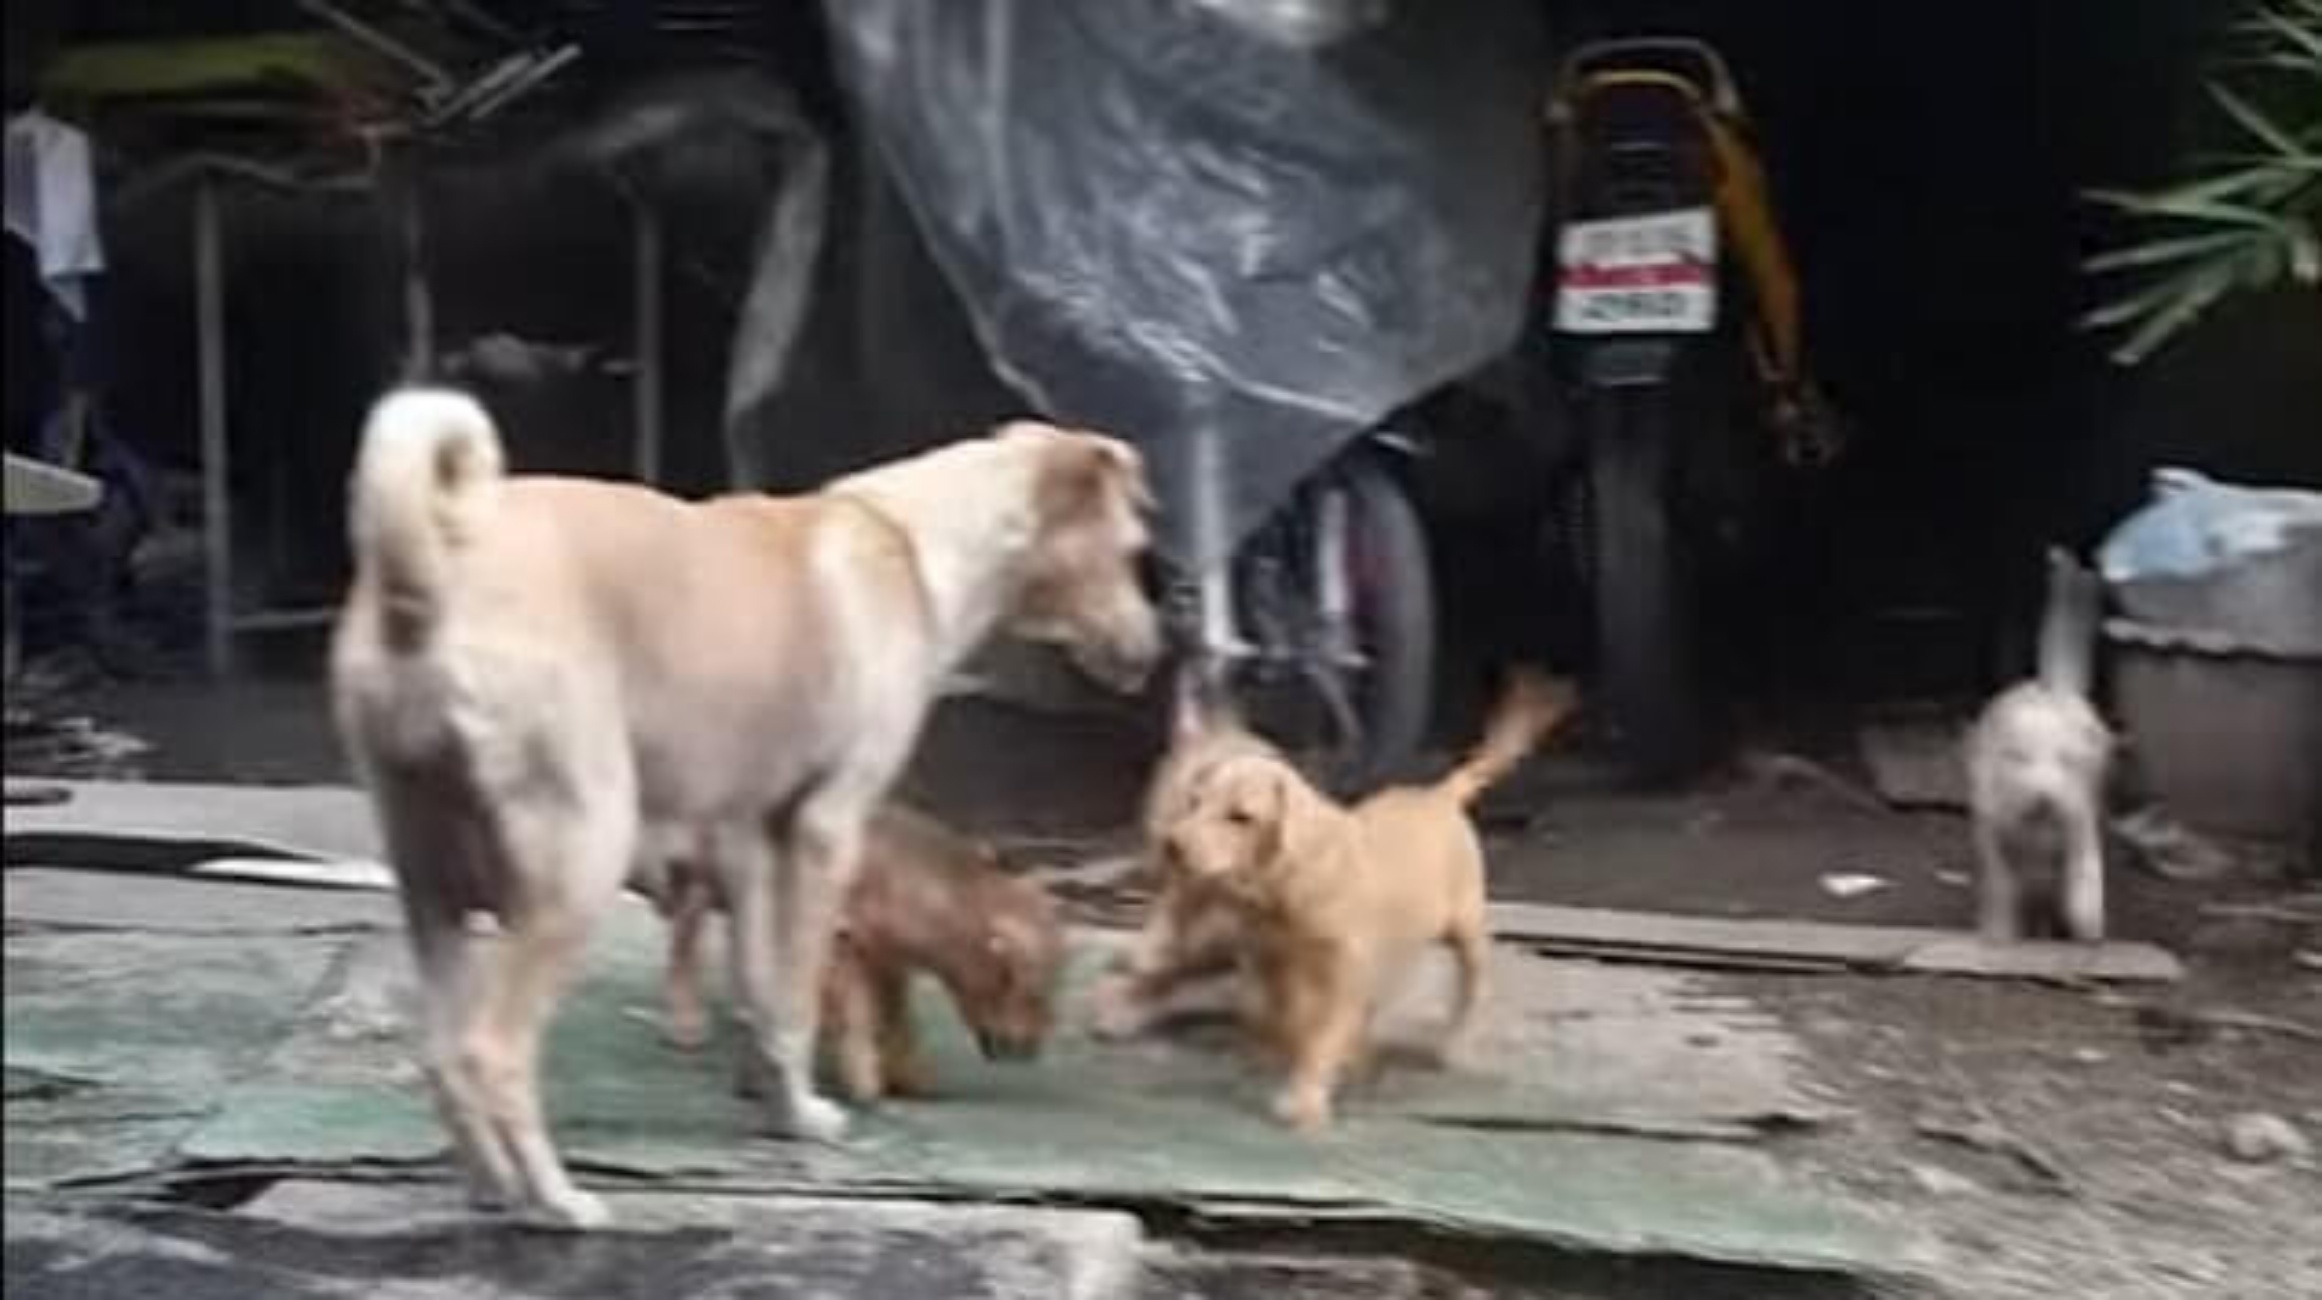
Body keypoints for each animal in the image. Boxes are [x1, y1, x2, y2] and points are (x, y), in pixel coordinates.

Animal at [640, 807, 1063, 1100]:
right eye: (1031, 988)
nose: (1035, 1048)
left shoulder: (886, 957)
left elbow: (898, 1018)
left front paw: (910, 1079)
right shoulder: (839, 942)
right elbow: (858, 1013)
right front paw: (864, 1083)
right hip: (703, 881)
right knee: (684, 938)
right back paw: (688, 1027)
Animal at [1161, 668, 1578, 1128]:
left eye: (1241, 817)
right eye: (1194, 802)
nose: (1172, 846)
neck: (1290, 882)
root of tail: (1440, 795)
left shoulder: (1344, 974)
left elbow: (1322, 1034)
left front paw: (1305, 1098)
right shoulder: (1271, 961)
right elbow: (1285, 1020)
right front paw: (1306, 1058)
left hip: (1467, 926)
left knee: (1472, 987)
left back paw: (1453, 1046)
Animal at [1969, 547, 2117, 942]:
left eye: (2067, 761)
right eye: (2019, 759)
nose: (2045, 797)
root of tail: (2053, 684)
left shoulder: (2079, 820)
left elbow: (2085, 874)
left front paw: (2088, 925)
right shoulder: (1993, 832)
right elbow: (2001, 886)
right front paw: (1999, 932)